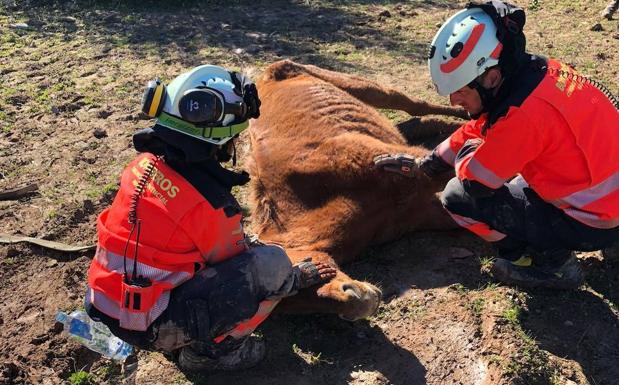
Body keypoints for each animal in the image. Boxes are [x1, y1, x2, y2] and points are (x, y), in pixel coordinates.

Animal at [247, 59, 464, 318]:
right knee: (419, 123)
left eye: (287, 281)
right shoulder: (429, 210)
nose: (359, 302)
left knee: (414, 105)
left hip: (366, 89)